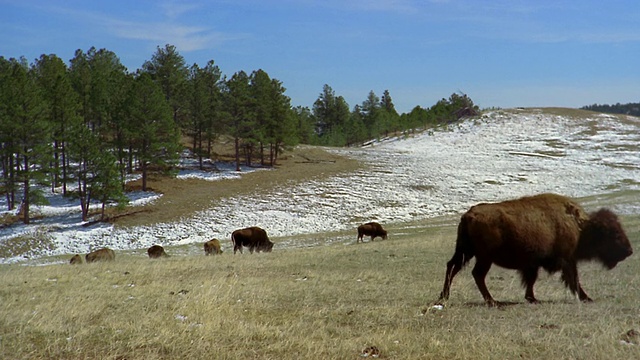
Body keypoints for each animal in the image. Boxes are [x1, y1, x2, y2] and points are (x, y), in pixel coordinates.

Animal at [438, 194, 632, 306]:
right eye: (614, 233)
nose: (629, 251)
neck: (579, 226)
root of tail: (469, 215)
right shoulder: (567, 260)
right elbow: (574, 280)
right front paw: (587, 298)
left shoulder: (533, 264)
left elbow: (531, 280)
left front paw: (532, 298)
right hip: (484, 258)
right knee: (476, 274)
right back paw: (492, 301)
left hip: (466, 252)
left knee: (452, 267)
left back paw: (445, 297)